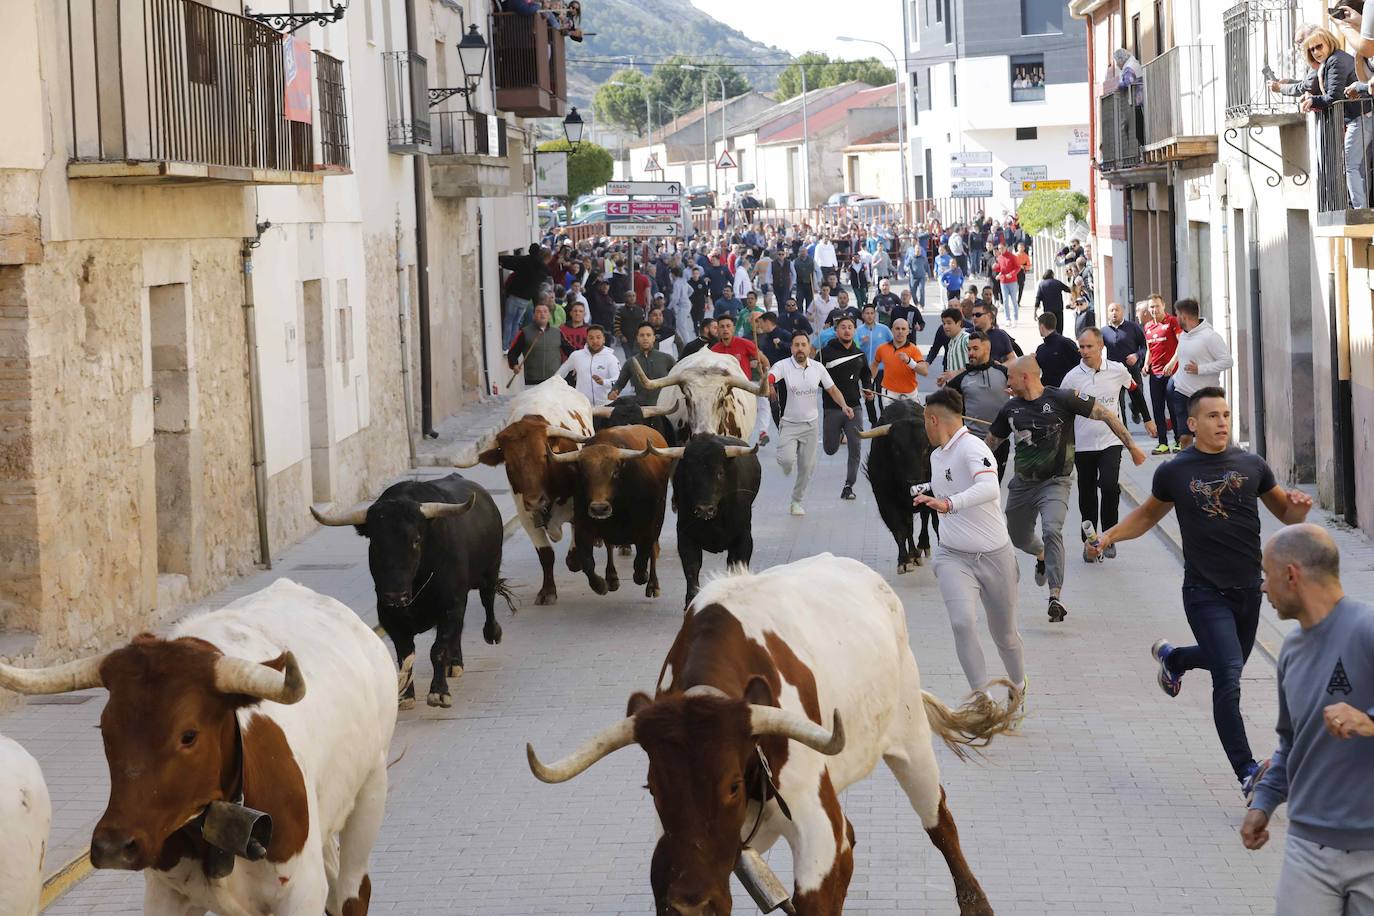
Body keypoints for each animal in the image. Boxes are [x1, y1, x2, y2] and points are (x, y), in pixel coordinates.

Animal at [311, 472, 516, 708]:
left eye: (416, 541)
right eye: (375, 543)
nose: (395, 595)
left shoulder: (450, 605)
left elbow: (438, 649)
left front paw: (439, 692)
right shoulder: (390, 616)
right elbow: (405, 655)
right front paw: (406, 695)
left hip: (490, 569)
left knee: (487, 600)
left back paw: (490, 634)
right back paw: (455, 663)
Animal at [527, 552, 1022, 916]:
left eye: (731, 785)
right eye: (653, 788)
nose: (692, 905)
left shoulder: (815, 822)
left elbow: (817, 894)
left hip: (909, 737)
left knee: (940, 821)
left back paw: (975, 901)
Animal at [862, 401, 939, 574]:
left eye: (926, 449)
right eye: (896, 449)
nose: (914, 482)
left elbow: (929, 520)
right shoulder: (884, 498)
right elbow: (900, 529)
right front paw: (904, 560)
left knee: (925, 519)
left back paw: (923, 545)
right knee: (909, 526)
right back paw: (913, 554)